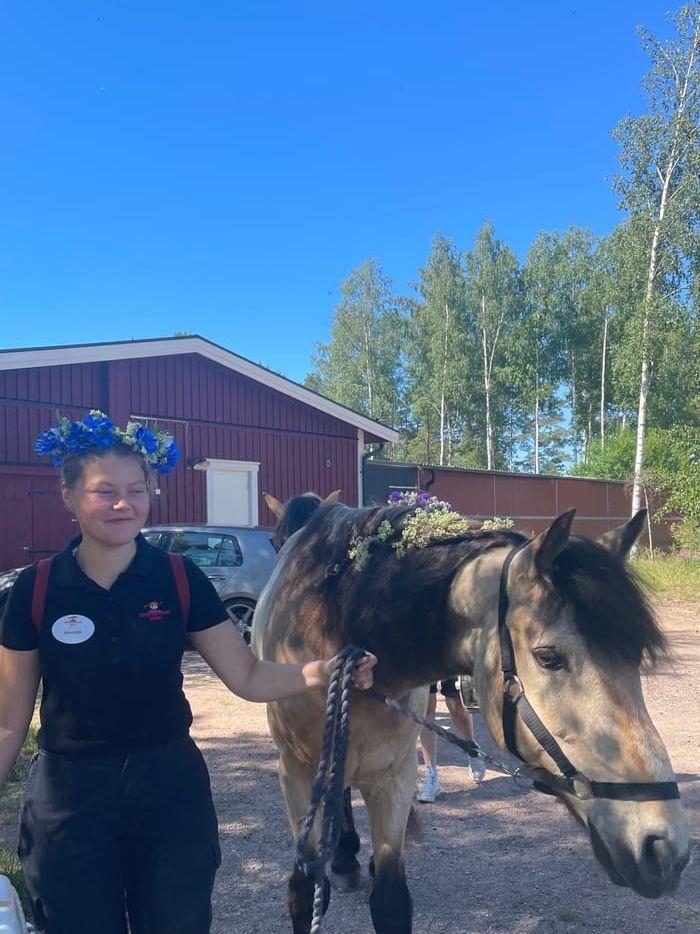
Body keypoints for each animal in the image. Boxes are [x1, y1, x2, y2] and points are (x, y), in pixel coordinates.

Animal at [253, 498, 688, 934]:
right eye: (548, 657)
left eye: (635, 656)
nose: (665, 848)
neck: (339, 620)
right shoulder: (296, 774)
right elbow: (304, 890)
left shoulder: (394, 776)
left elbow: (391, 897)